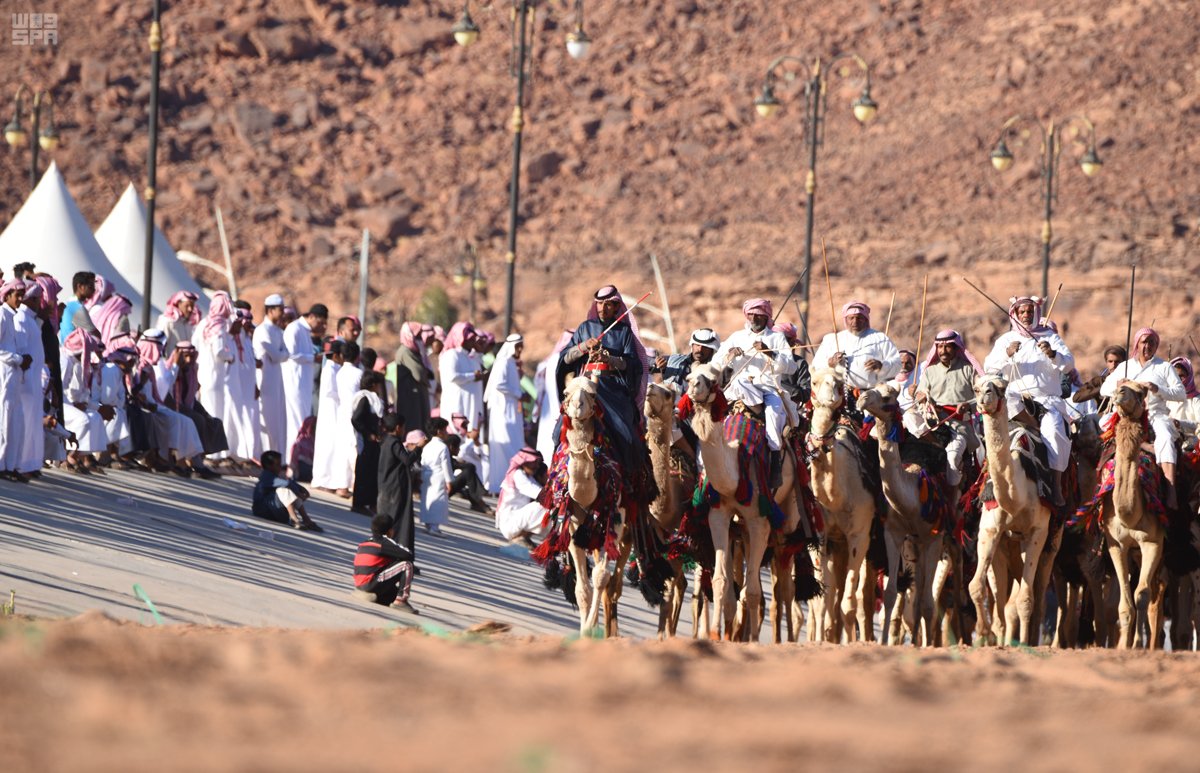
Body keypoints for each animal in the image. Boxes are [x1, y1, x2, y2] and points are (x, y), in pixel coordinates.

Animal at [561, 374, 638, 633]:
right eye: (565, 393)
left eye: (593, 394)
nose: (577, 407)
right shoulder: (574, 524)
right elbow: (581, 587)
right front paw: (586, 627)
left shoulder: (615, 518)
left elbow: (601, 577)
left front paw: (588, 629)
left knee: (614, 580)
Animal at [859, 384, 950, 648]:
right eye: (872, 389)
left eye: (887, 396)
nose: (861, 398)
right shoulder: (894, 533)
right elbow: (890, 594)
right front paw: (882, 643)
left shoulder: (934, 537)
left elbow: (929, 602)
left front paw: (929, 646)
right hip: (913, 545)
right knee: (916, 593)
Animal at [974, 374, 1051, 648]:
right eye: (976, 387)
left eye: (1001, 385)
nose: (985, 398)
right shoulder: (990, 529)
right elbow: (977, 587)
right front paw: (983, 633)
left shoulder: (1038, 531)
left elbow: (1025, 599)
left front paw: (1023, 644)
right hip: (1007, 547)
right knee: (1003, 600)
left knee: (1034, 595)